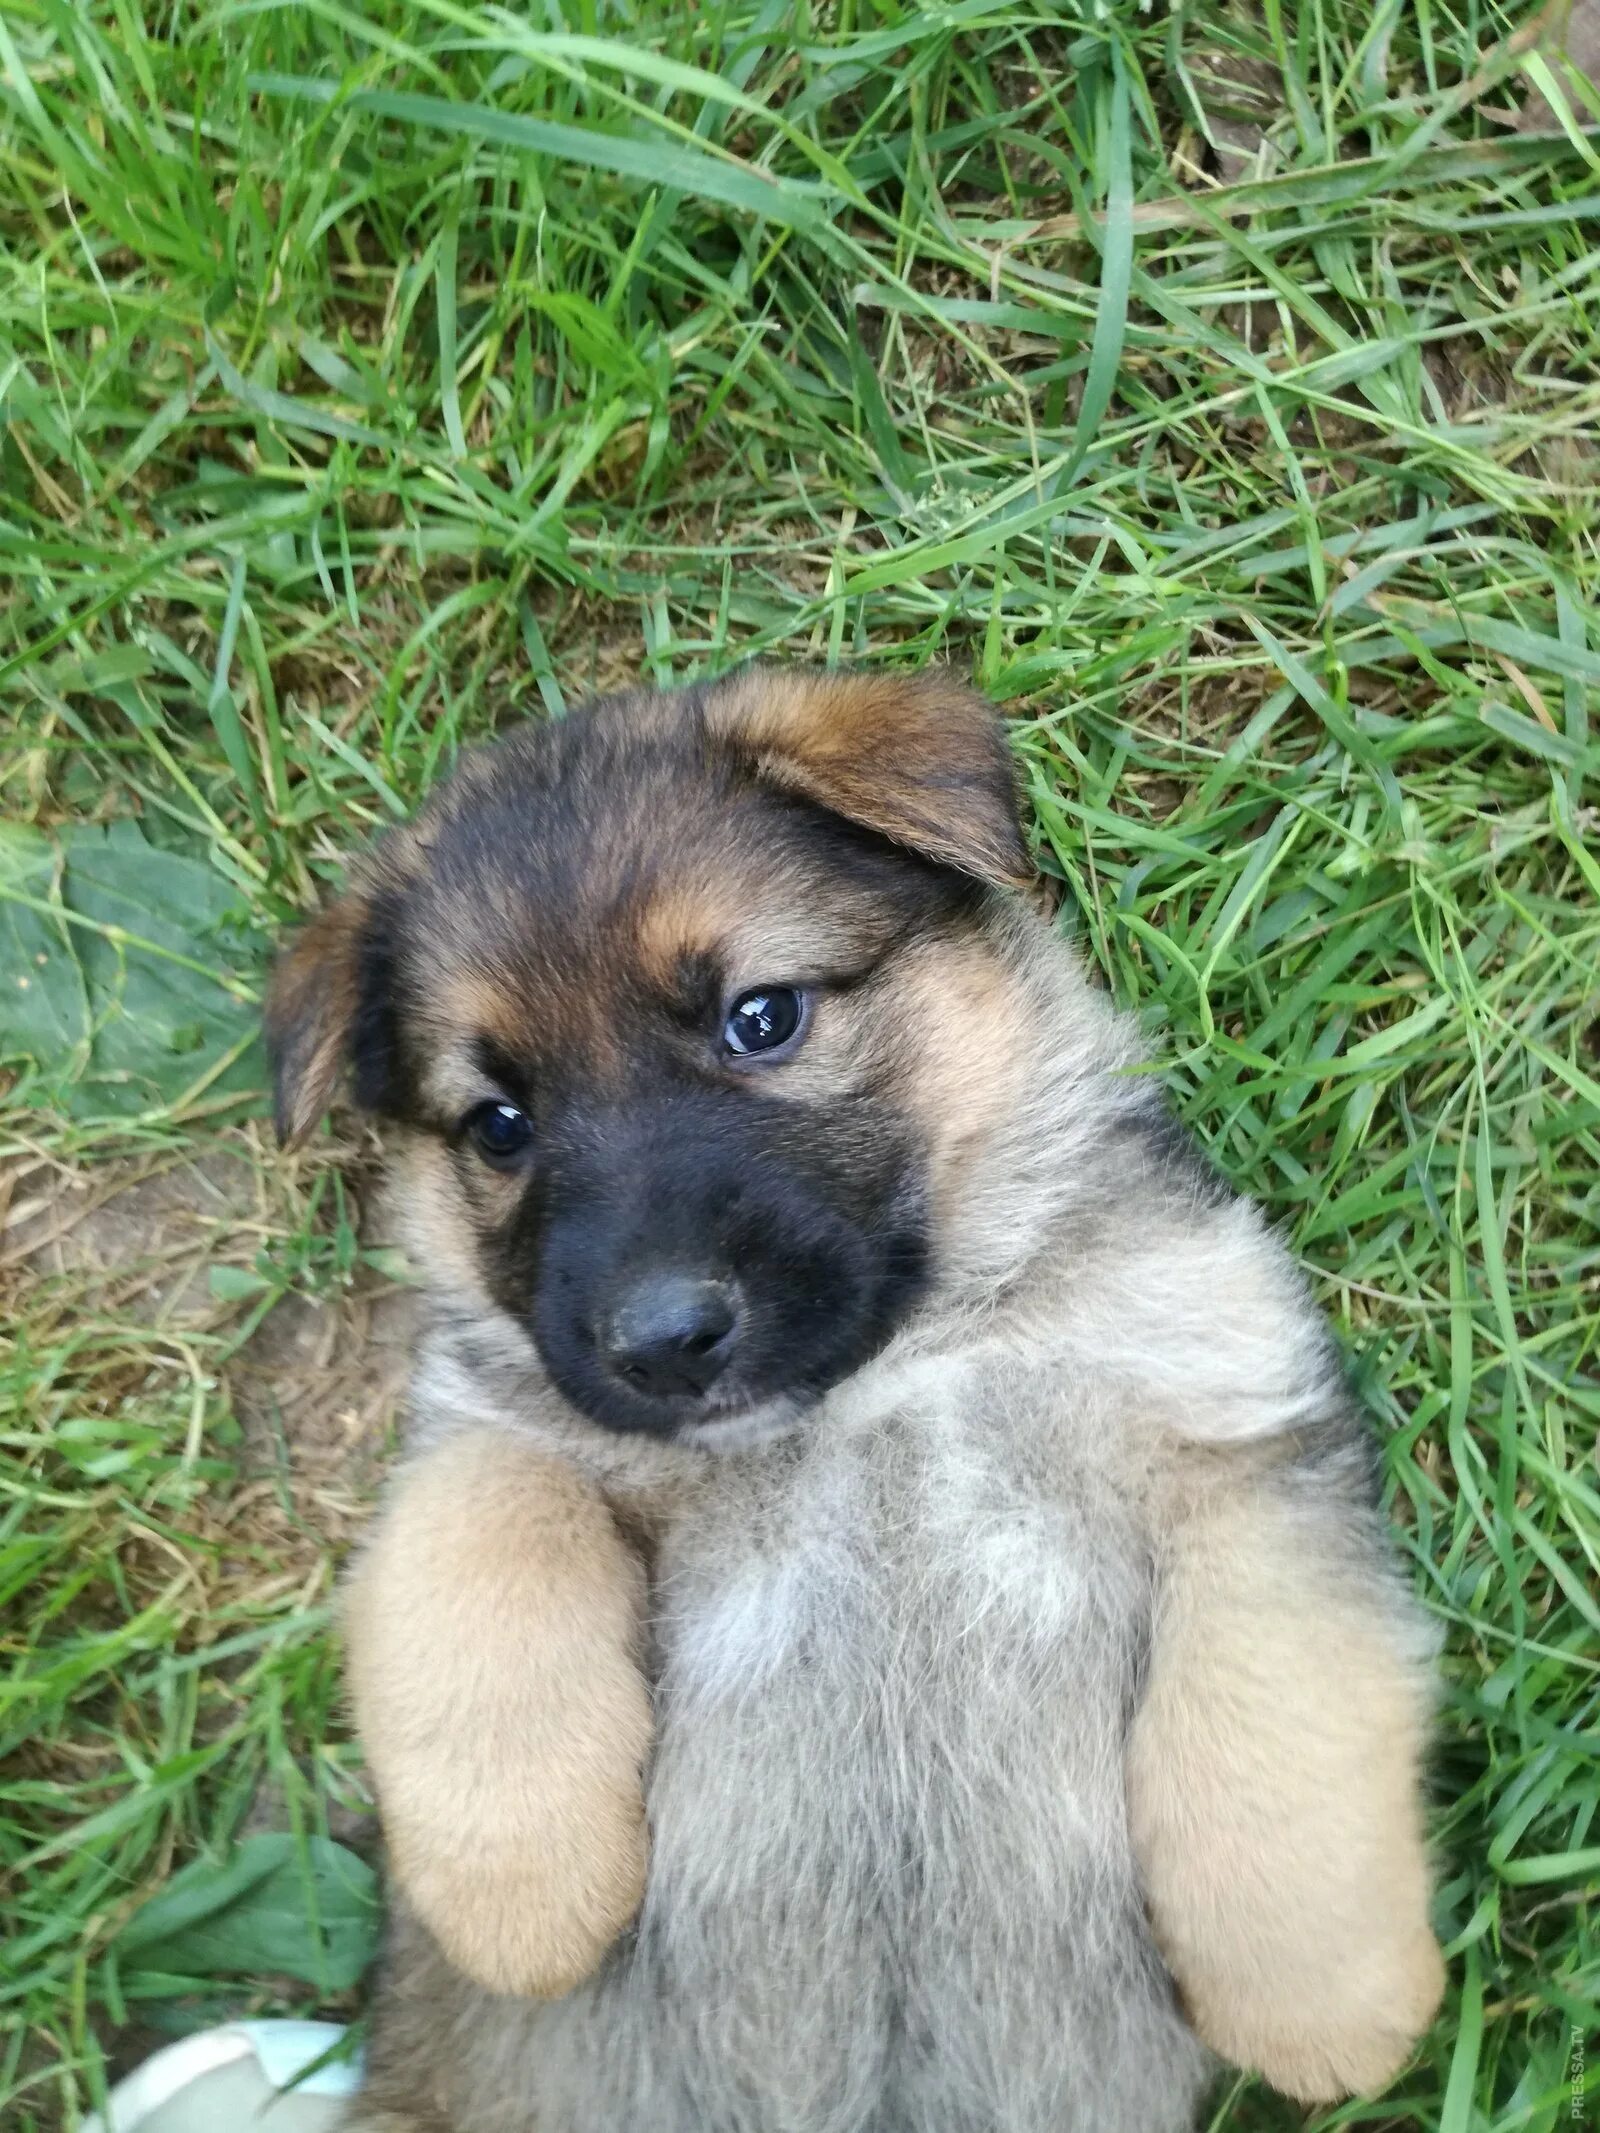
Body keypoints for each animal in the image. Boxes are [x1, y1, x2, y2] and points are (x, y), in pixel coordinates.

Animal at [269, 669, 1450, 2133]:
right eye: (498, 1125)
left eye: (761, 1016)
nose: (664, 1342)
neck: (884, 1374)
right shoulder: (490, 1432)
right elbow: (479, 1549)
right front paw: (521, 1896)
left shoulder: (1240, 1439)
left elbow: (1269, 1731)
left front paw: (1322, 2006)